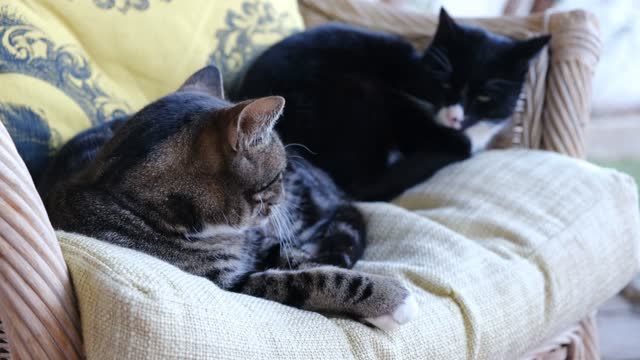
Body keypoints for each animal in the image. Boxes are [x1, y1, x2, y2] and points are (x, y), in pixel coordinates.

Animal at [41, 66, 420, 330]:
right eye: (277, 175)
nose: (283, 194)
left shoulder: (263, 240)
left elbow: (305, 262)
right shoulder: (229, 285)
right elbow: (314, 278)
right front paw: (390, 299)